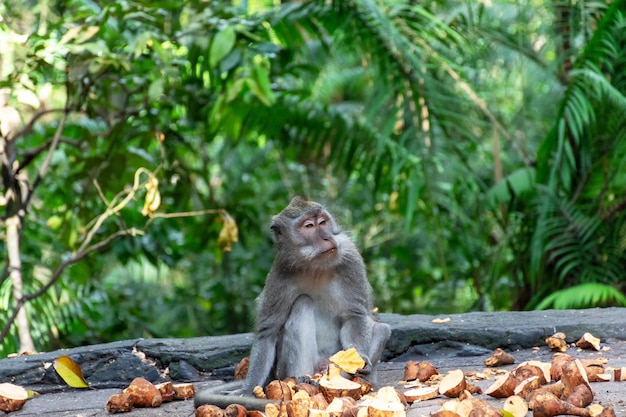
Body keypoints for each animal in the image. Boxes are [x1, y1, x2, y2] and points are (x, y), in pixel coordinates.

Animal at [195, 197, 390, 408]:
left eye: (323, 222)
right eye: (309, 226)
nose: (327, 237)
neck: (315, 267)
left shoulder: (350, 258)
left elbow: (354, 315)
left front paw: (359, 358)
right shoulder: (280, 274)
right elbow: (268, 333)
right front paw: (246, 391)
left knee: (382, 329)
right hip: (285, 369)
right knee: (302, 303)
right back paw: (303, 380)